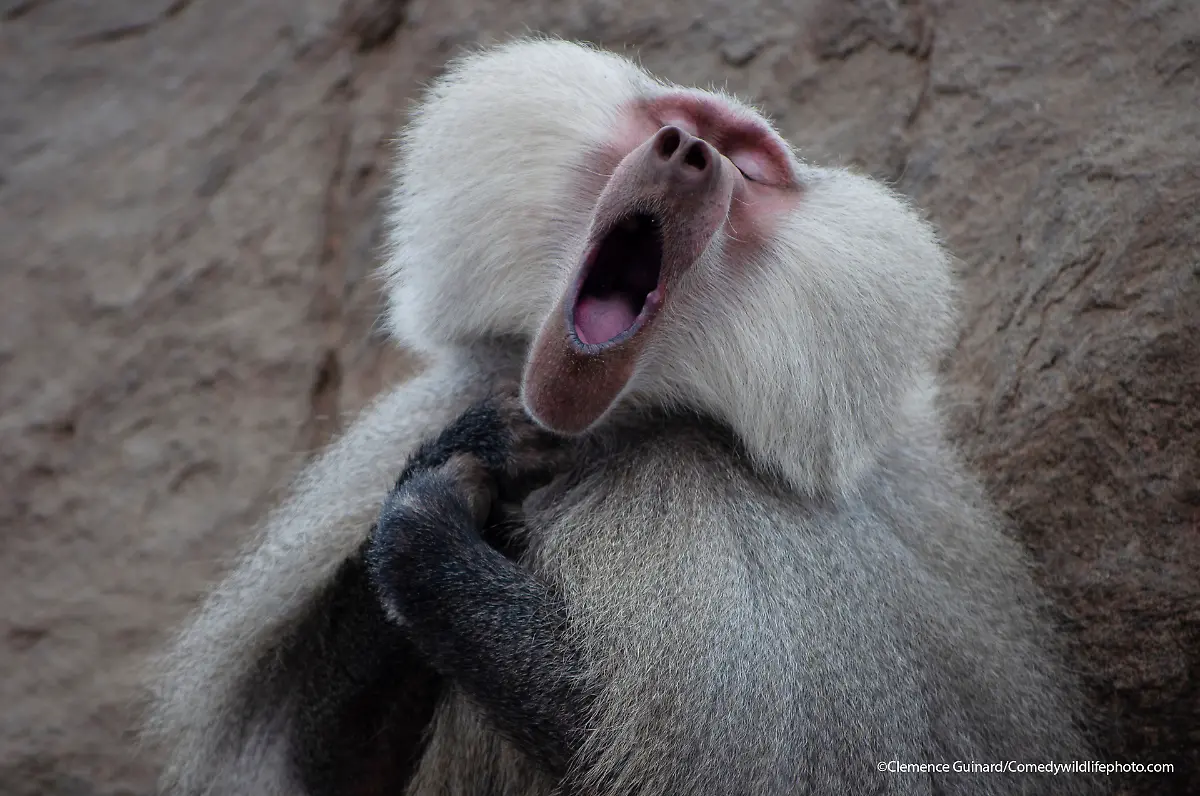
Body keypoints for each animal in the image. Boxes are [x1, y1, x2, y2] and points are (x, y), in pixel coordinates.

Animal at [145, 37, 1103, 796]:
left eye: (750, 166)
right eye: (675, 121)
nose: (688, 154)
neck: (598, 428)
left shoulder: (733, 523)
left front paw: (426, 527)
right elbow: (340, 771)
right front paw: (473, 452)